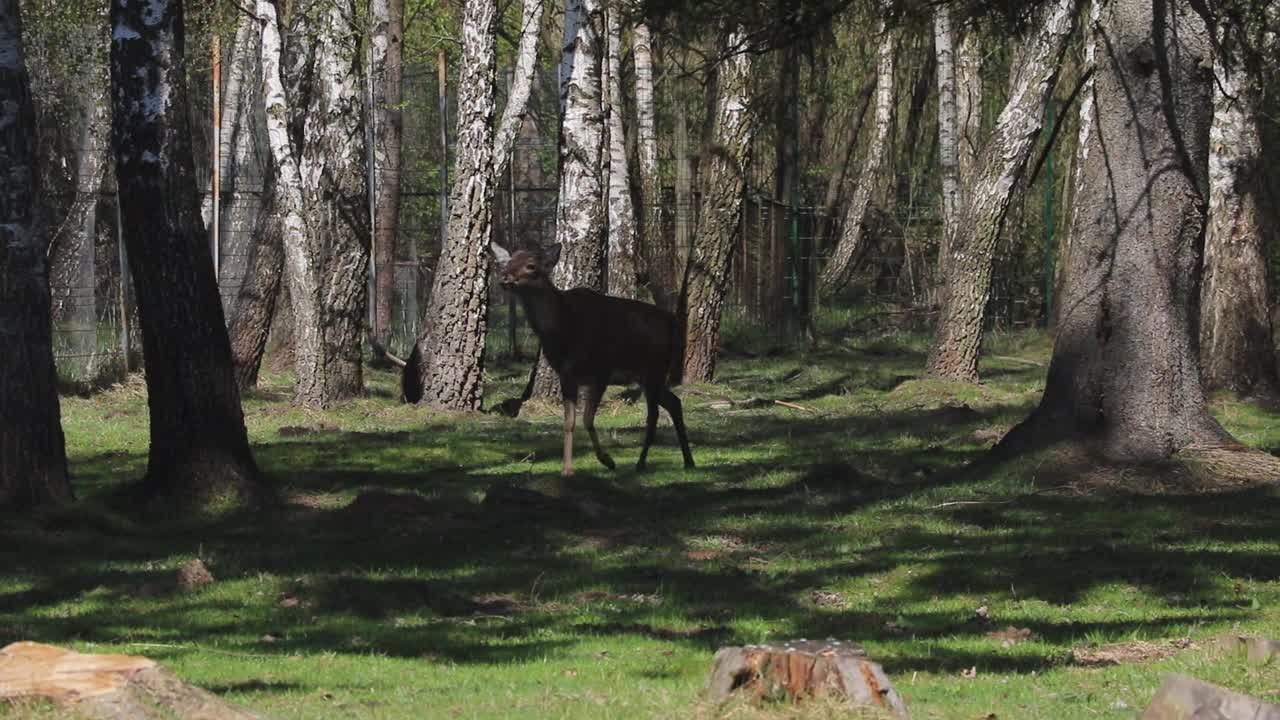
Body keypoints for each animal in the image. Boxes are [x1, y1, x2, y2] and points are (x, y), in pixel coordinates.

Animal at [488, 243, 696, 474]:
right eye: (507, 263)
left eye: (531, 265)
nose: (504, 278)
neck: (561, 327)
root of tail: (673, 324)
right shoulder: (566, 374)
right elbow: (569, 422)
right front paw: (567, 469)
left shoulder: (601, 370)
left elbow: (587, 418)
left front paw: (607, 460)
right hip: (647, 376)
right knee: (674, 402)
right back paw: (688, 461)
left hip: (655, 368)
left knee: (654, 415)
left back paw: (642, 463)